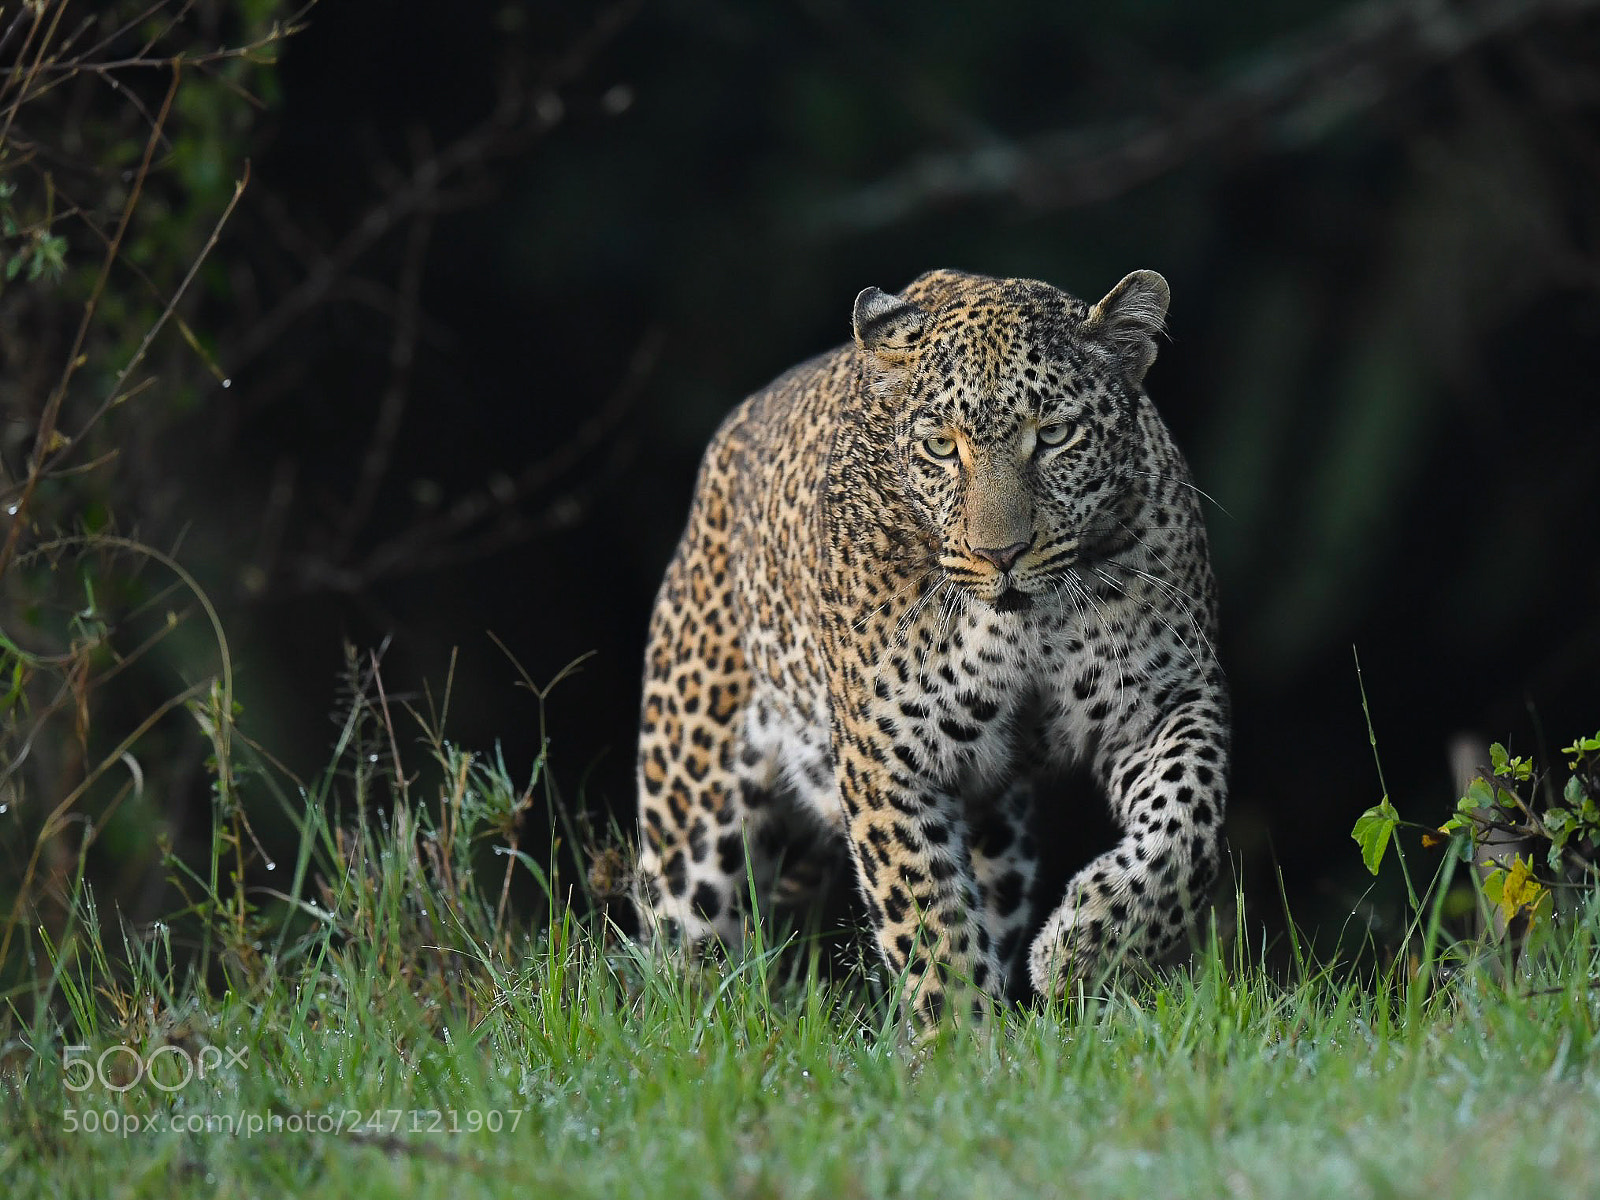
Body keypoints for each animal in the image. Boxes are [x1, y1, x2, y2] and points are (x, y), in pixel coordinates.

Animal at [633, 267, 1229, 1023]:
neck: (1024, 627)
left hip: (999, 832)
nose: (1000, 554)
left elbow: (1186, 830)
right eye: (942, 447)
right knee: (684, 953)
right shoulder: (889, 758)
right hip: (692, 804)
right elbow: (932, 927)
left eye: (1056, 435)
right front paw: (961, 1039)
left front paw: (1085, 946)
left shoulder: (1166, 699)